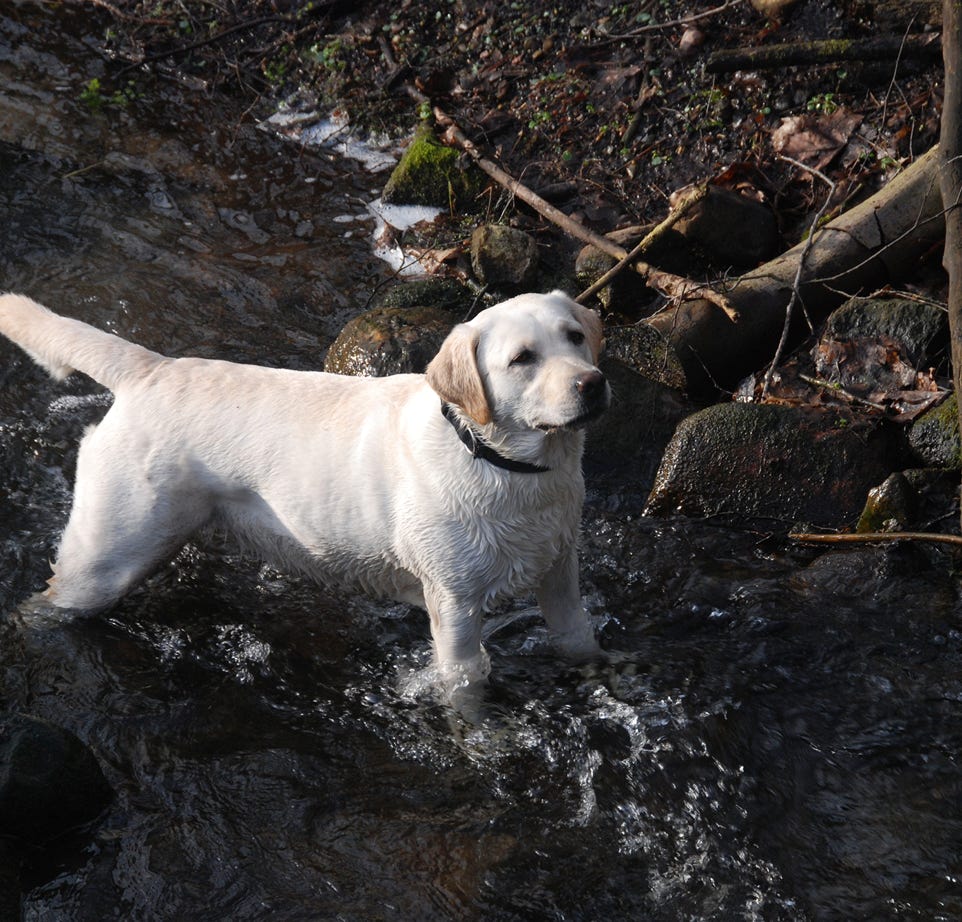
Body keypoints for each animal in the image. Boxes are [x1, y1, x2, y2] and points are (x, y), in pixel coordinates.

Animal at [0, 290, 608, 684]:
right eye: (522, 359)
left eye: (576, 337)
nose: (593, 384)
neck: (508, 468)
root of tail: (152, 368)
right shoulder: (455, 607)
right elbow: (468, 685)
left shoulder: (560, 571)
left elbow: (580, 638)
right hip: (106, 557)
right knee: (46, 603)